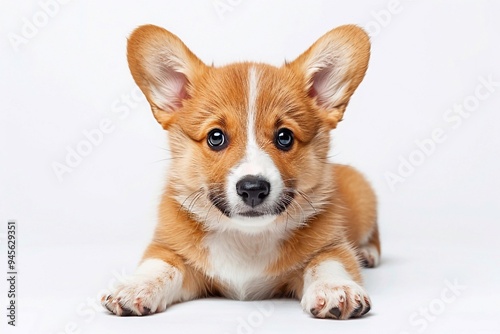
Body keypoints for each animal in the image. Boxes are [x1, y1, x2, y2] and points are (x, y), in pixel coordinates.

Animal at [103, 24, 380, 320]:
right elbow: (160, 265)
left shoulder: (332, 245)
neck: (247, 236)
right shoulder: (170, 249)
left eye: (285, 137)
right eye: (216, 137)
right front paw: (136, 286)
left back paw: (368, 253)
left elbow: (328, 263)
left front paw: (336, 288)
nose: (253, 189)